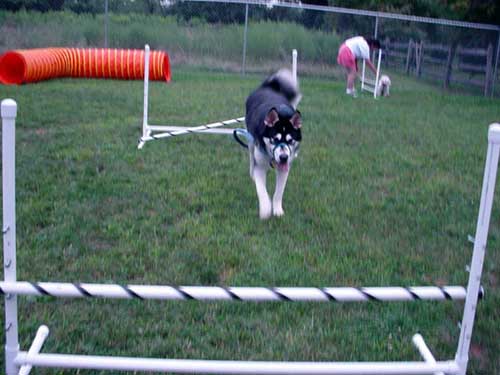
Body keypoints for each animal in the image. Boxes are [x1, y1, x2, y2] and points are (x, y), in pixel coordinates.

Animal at [245, 70, 302, 220]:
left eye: (290, 140)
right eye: (274, 139)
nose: (283, 157)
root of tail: (269, 87)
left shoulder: (284, 169)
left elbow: (278, 193)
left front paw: (277, 210)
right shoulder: (260, 166)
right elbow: (262, 191)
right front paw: (265, 209)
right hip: (251, 141)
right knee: (251, 155)